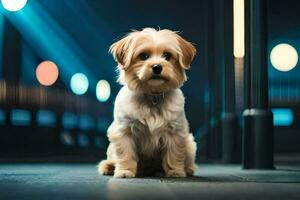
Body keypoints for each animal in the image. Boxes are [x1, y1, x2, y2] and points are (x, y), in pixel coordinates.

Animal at [98, 27, 197, 178]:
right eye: (143, 56)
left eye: (167, 56)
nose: (157, 67)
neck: (153, 95)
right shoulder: (124, 131)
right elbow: (125, 154)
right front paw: (125, 171)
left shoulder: (175, 133)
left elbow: (174, 155)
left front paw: (175, 171)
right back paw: (108, 166)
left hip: (190, 144)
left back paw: (186, 169)